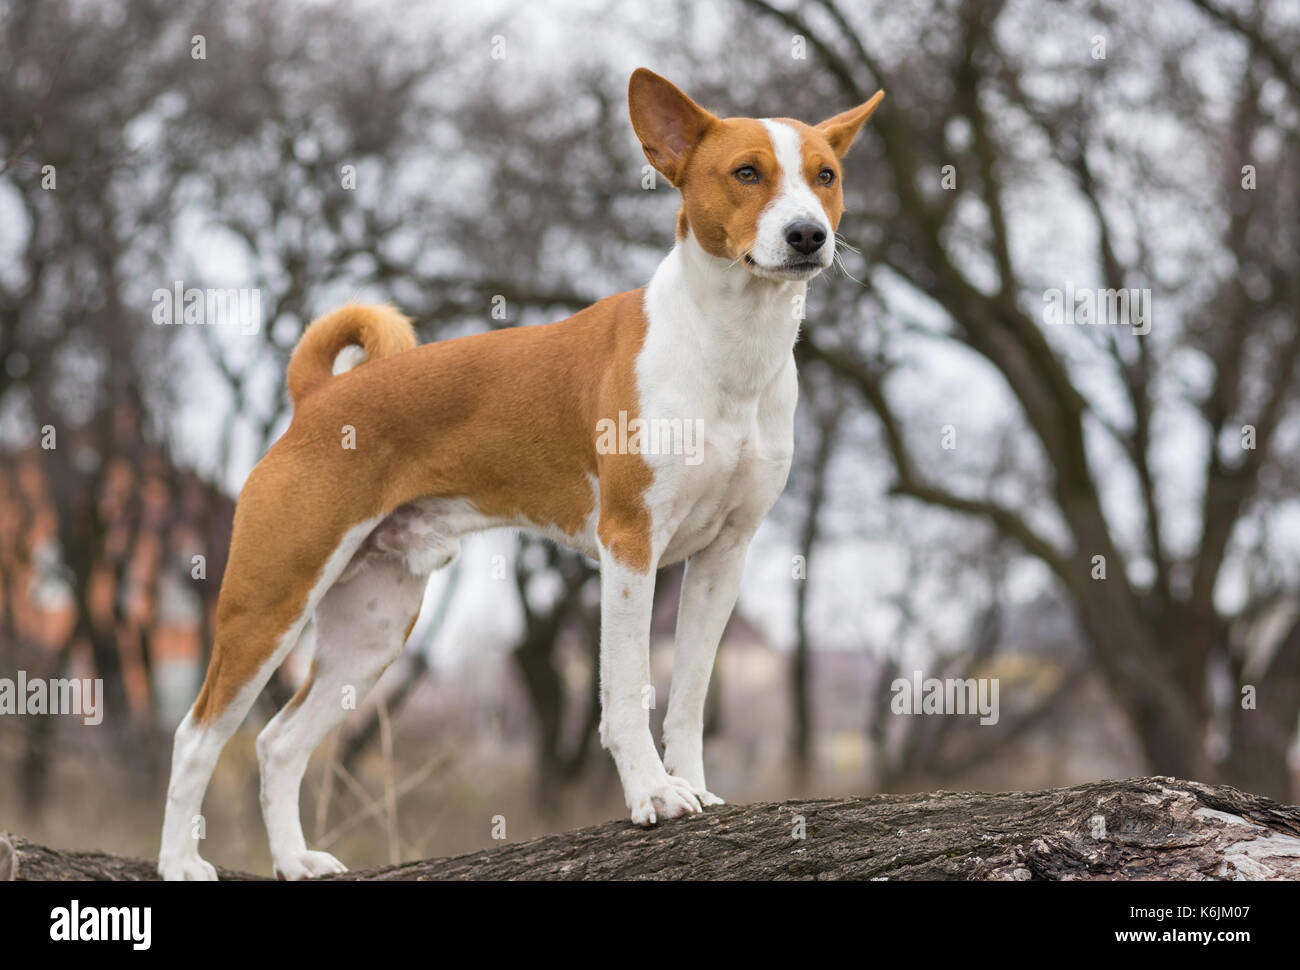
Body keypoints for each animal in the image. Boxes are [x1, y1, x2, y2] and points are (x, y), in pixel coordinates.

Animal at [154, 67, 883, 878]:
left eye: (826, 176)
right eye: (746, 173)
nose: (808, 235)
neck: (730, 350)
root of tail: (317, 397)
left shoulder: (726, 552)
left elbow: (690, 696)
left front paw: (693, 787)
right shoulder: (630, 544)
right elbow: (626, 691)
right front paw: (653, 796)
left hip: (374, 624)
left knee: (279, 742)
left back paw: (295, 860)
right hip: (271, 599)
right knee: (196, 737)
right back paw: (180, 863)